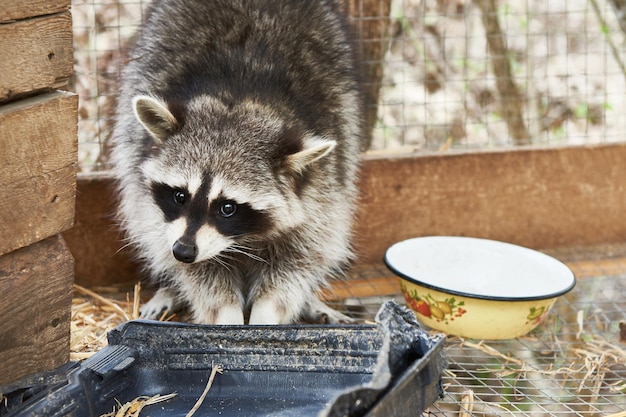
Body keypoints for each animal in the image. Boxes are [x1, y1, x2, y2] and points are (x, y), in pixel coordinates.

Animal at [109, 0, 364, 324]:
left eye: (227, 208)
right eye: (179, 196)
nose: (184, 251)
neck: (239, 100)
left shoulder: (321, 190)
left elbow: (297, 262)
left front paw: (266, 315)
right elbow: (202, 276)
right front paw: (225, 315)